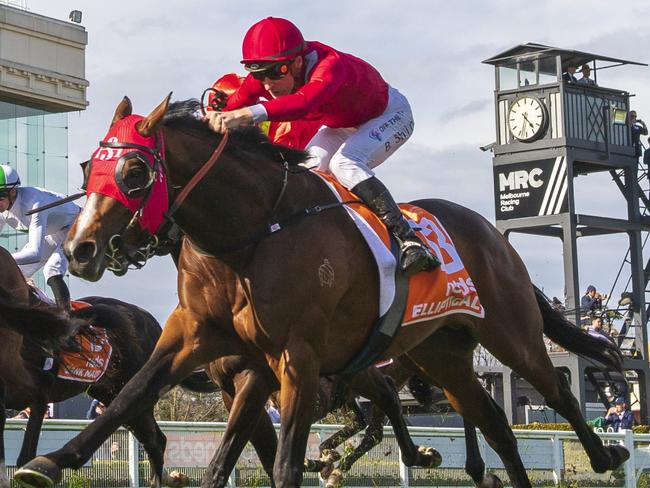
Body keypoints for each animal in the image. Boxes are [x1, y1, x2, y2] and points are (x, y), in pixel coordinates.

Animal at [15, 96, 624, 488]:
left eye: (136, 171)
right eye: (90, 169)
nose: (82, 249)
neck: (250, 233)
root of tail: (490, 232)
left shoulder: (296, 358)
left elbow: (285, 460)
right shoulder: (198, 339)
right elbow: (131, 398)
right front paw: (49, 462)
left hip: (508, 331)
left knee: (559, 392)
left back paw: (607, 453)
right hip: (442, 354)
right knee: (497, 426)